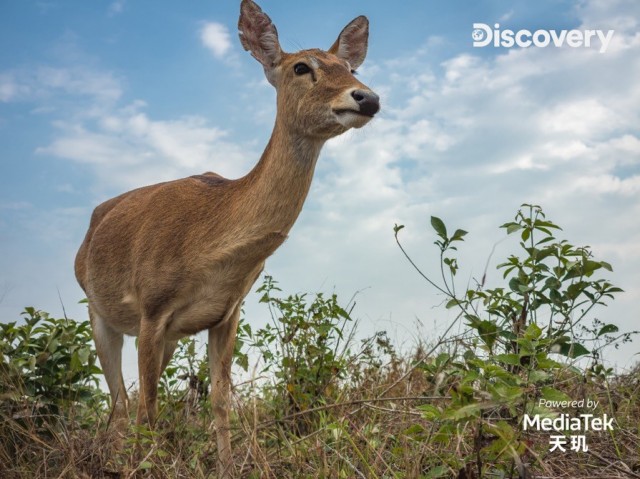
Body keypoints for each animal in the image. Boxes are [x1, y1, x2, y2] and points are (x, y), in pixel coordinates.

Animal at [77, 0, 380, 474]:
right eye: (301, 67)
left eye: (350, 66)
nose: (367, 97)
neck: (211, 247)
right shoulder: (152, 306)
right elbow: (149, 407)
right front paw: (147, 468)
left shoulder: (225, 312)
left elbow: (219, 401)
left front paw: (227, 466)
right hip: (99, 312)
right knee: (122, 402)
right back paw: (113, 459)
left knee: (125, 400)